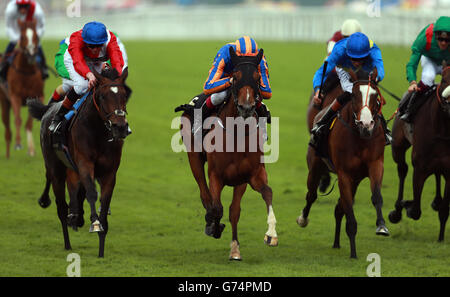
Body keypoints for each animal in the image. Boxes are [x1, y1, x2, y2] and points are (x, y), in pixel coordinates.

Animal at [1, 18, 43, 157]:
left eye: (36, 36)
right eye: (22, 37)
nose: (31, 54)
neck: (26, 72)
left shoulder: (38, 96)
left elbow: (29, 123)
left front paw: (31, 150)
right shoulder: (15, 97)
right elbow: (18, 120)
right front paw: (18, 144)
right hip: (4, 101)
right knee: (7, 125)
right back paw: (8, 153)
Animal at [27, 67, 130, 256]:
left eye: (124, 95)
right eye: (102, 96)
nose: (120, 127)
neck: (99, 132)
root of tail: (49, 110)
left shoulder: (109, 173)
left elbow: (104, 201)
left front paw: (101, 247)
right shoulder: (84, 164)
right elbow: (91, 192)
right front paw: (95, 224)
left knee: (75, 193)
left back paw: (76, 217)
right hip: (56, 169)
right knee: (61, 206)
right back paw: (68, 241)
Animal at [179, 46, 278, 260]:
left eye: (258, 77)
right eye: (235, 75)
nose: (247, 107)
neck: (237, 133)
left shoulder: (250, 175)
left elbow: (259, 197)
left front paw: (269, 235)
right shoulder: (216, 175)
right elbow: (217, 207)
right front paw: (214, 227)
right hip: (194, 158)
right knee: (204, 194)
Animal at [298, 69, 388, 256]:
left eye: (375, 96)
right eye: (353, 95)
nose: (366, 124)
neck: (360, 137)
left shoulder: (375, 164)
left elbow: (376, 196)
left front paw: (382, 226)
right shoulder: (344, 173)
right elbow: (349, 212)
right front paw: (353, 253)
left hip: (355, 179)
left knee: (339, 208)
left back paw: (337, 242)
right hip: (315, 167)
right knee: (312, 195)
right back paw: (303, 218)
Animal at [388, 63, 450, 240]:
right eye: (444, 79)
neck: (442, 127)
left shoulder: (449, 170)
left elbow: (445, 210)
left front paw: (441, 238)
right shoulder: (420, 168)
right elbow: (415, 210)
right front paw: (406, 205)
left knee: (437, 173)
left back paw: (436, 201)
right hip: (398, 146)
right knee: (402, 169)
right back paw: (397, 210)